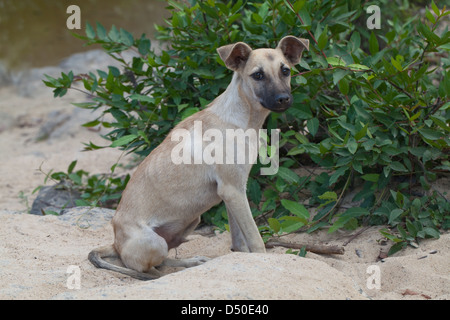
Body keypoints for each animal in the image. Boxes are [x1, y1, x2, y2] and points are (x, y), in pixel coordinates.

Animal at [89, 35, 312, 280]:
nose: (283, 99)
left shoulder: (233, 192)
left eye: (285, 71)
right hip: (155, 241)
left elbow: (239, 243)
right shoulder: (233, 190)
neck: (240, 118)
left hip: (189, 222)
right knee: (149, 269)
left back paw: (192, 262)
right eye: (258, 75)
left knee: (165, 260)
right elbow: (255, 240)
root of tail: (116, 244)